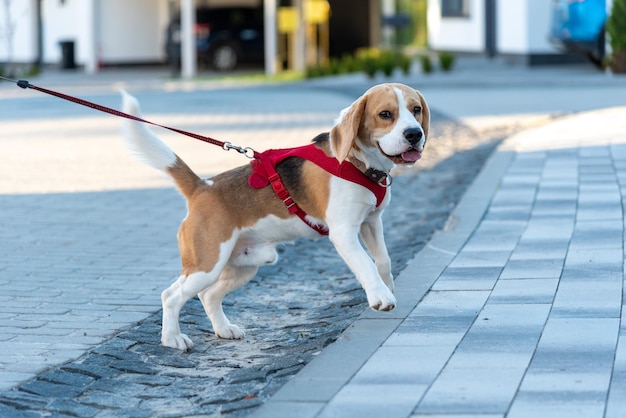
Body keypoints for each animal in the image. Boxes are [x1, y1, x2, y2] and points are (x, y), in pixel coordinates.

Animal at [119, 83, 426, 352]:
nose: (415, 134)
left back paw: (224, 329)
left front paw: (388, 286)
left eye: (416, 109)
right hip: (206, 265)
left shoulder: (371, 222)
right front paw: (380, 296)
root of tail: (201, 186)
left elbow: (383, 261)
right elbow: (366, 264)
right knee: (171, 296)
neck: (359, 163)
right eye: (385, 114)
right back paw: (172, 338)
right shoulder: (344, 232)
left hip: (244, 266)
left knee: (208, 295)